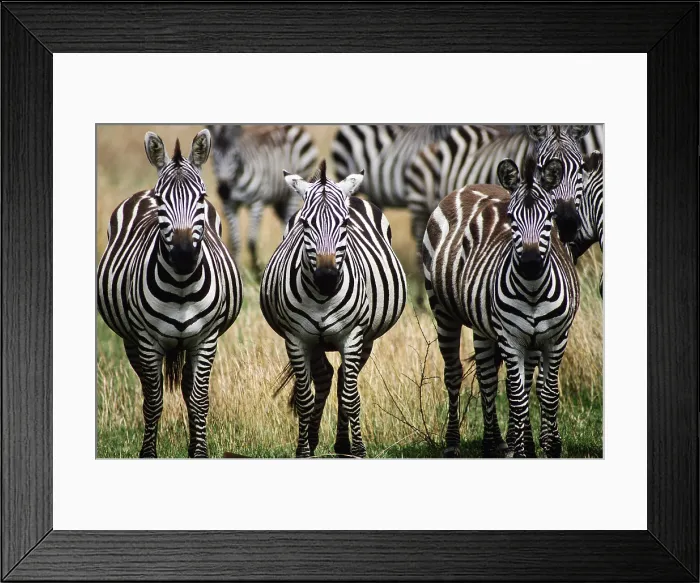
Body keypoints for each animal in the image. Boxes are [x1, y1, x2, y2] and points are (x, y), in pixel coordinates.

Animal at [97, 129, 242, 458]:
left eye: (201, 198)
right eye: (161, 201)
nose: (185, 255)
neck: (181, 287)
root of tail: (140, 192)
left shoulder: (206, 338)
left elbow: (199, 400)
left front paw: (199, 453)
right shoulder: (147, 341)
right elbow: (153, 402)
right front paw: (148, 453)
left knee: (188, 387)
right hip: (130, 340)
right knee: (148, 388)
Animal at [207, 124, 319, 271]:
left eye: (235, 156)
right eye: (213, 157)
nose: (223, 191)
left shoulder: (256, 202)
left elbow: (251, 241)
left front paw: (256, 269)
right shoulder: (229, 205)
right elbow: (236, 241)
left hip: (293, 192)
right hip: (279, 200)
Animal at [260, 159, 406, 458]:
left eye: (345, 223)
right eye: (305, 224)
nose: (327, 278)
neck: (321, 298)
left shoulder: (352, 337)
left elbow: (351, 398)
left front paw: (359, 450)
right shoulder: (297, 339)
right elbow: (304, 399)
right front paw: (303, 451)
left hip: (366, 338)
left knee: (342, 381)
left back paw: (343, 446)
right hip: (316, 341)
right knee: (326, 376)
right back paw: (318, 440)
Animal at [422, 157, 580, 458]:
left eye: (549, 217)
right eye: (511, 218)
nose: (530, 263)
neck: (533, 290)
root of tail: (471, 185)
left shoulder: (556, 338)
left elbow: (547, 392)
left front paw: (547, 446)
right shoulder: (510, 338)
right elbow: (517, 396)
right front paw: (520, 449)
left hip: (484, 325)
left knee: (489, 378)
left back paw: (496, 442)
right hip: (443, 312)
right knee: (456, 374)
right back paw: (455, 443)